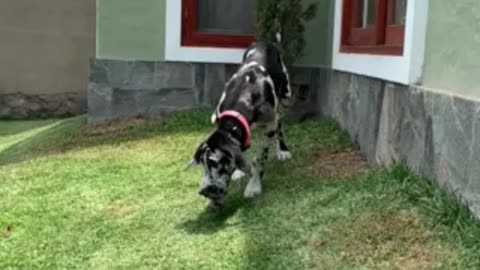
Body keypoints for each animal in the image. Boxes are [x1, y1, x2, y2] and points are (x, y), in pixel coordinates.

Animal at [189, 41, 290, 208]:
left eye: (215, 163)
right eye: (203, 164)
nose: (204, 191)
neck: (244, 95)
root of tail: (265, 42)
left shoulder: (269, 126)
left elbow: (260, 159)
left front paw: (254, 186)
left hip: (285, 99)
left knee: (281, 124)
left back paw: (283, 149)